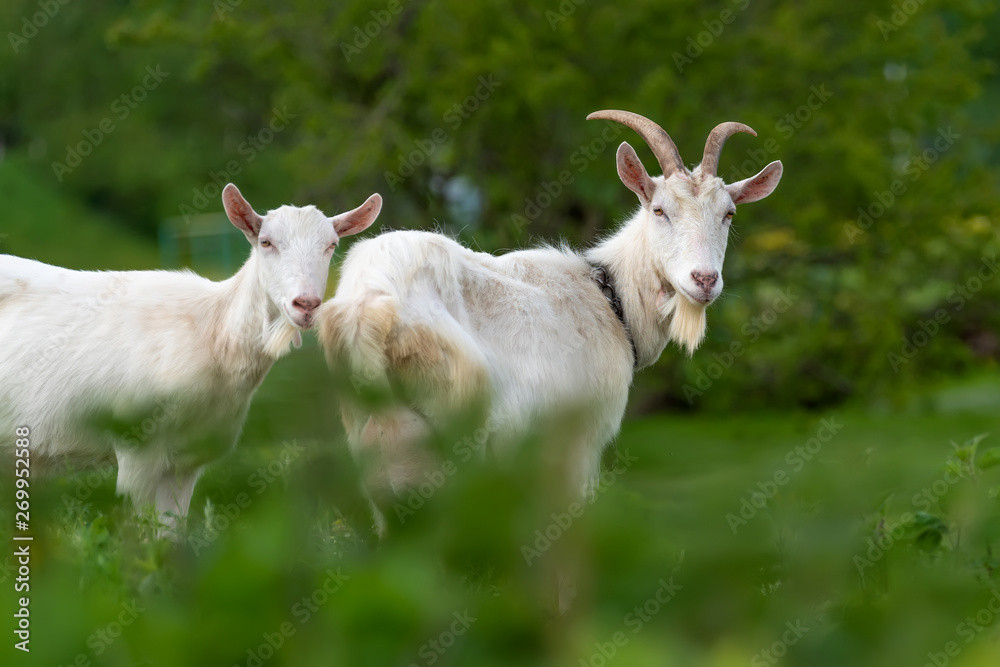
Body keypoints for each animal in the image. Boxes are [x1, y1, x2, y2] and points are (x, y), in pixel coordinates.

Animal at [0, 185, 380, 528]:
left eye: (331, 245)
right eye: (266, 242)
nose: (306, 304)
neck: (214, 335)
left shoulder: (188, 459)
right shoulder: (137, 445)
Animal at [320, 111, 780, 536]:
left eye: (729, 213)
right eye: (660, 210)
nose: (704, 280)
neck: (610, 299)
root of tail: (369, 313)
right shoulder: (577, 444)